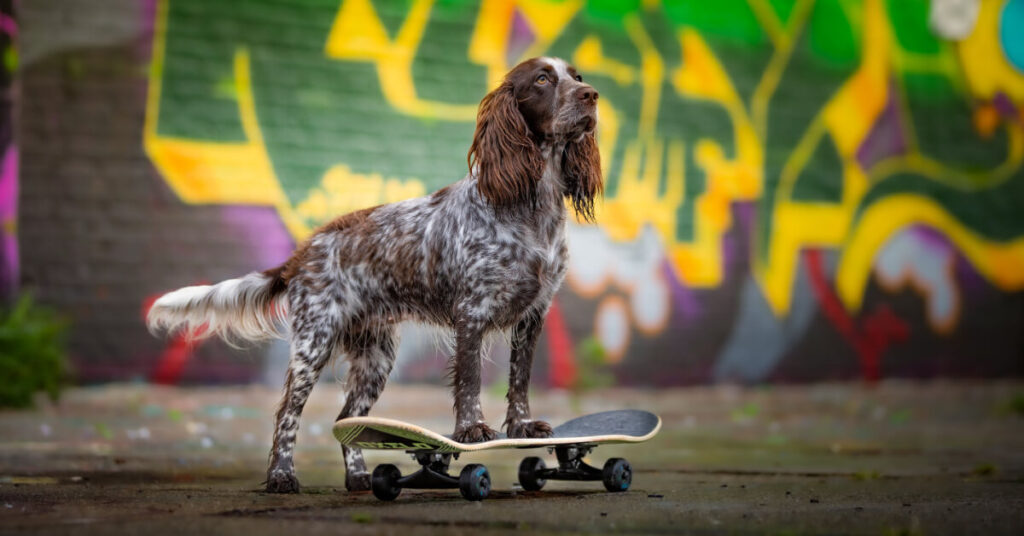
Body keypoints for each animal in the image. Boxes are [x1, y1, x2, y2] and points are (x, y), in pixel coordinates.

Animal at [148, 56, 602, 493]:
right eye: (542, 80)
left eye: (577, 76)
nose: (592, 95)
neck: (532, 207)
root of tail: (302, 252)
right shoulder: (471, 314)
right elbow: (470, 383)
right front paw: (472, 431)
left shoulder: (533, 315)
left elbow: (520, 380)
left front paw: (522, 427)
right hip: (314, 343)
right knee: (287, 416)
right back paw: (281, 477)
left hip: (376, 357)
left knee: (347, 420)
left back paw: (359, 478)